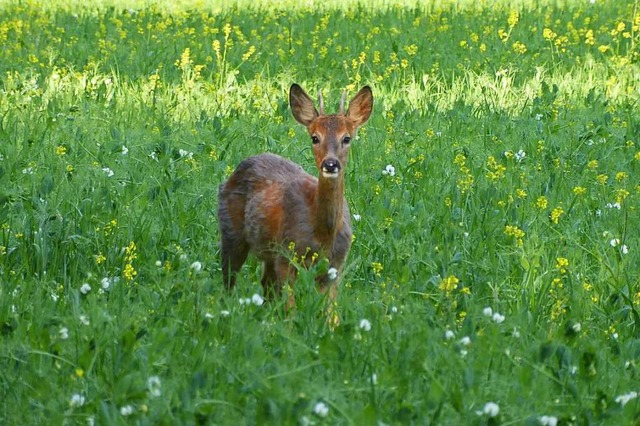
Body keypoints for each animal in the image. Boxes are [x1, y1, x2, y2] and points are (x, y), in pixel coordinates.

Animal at [218, 82, 372, 316]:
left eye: (347, 138)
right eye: (314, 137)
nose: (330, 164)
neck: (322, 234)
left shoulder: (335, 265)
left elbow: (331, 313)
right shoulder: (286, 255)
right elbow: (290, 310)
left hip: (269, 252)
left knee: (265, 284)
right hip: (231, 231)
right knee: (228, 279)